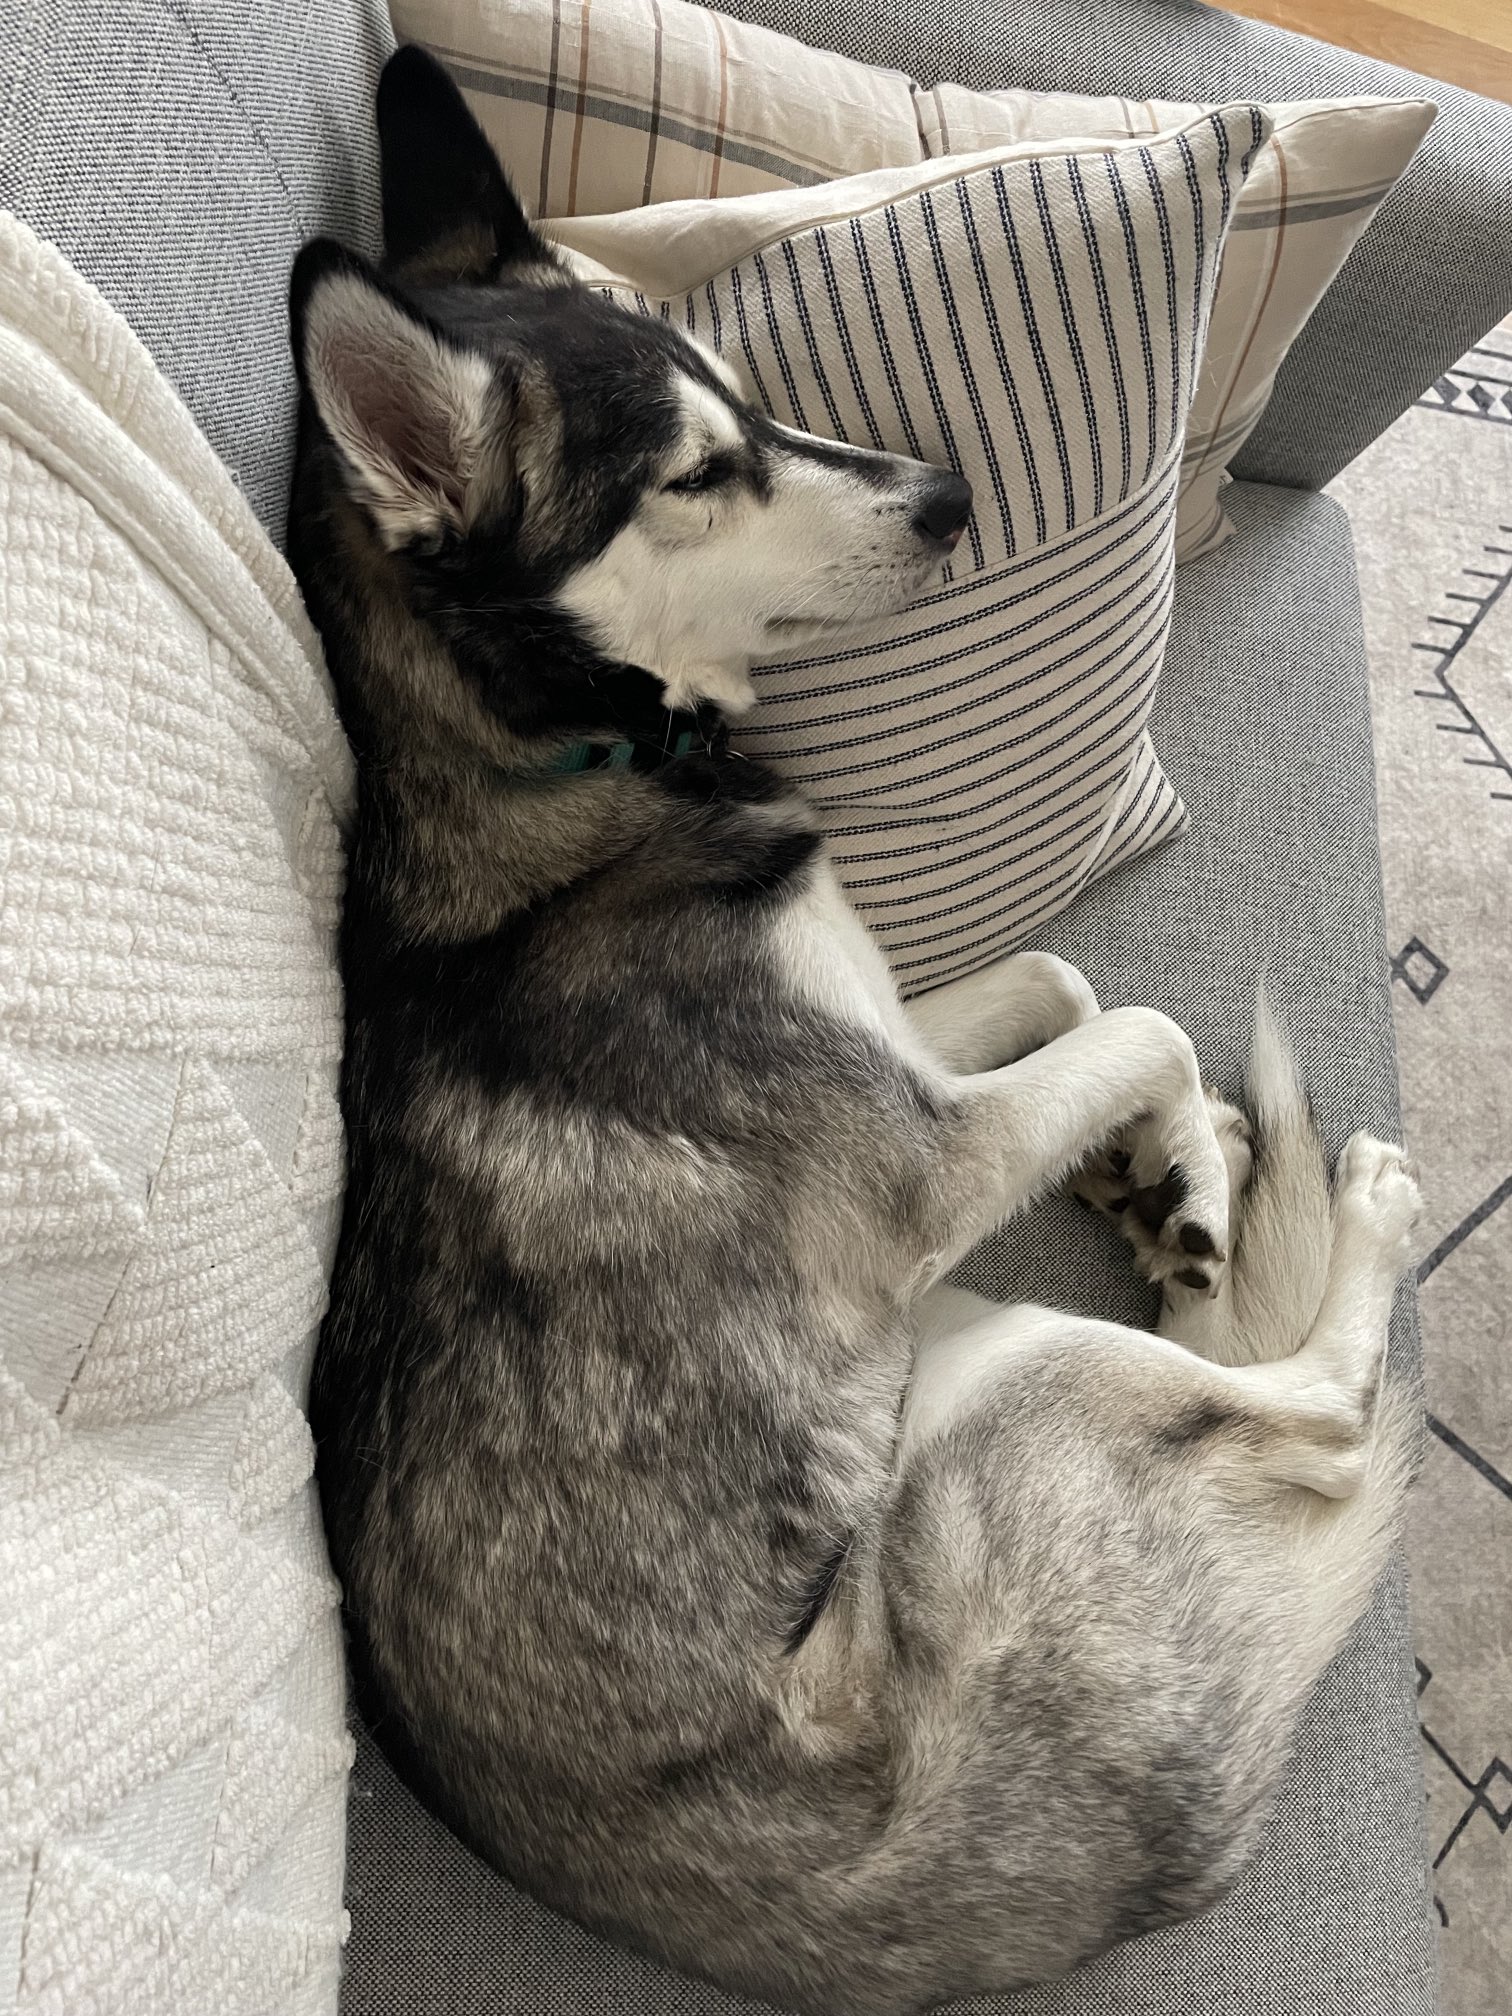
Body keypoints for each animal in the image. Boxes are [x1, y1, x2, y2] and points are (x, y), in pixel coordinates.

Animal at [292, 48, 1421, 2016]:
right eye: (697, 472)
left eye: (737, 387)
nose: (954, 494)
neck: (564, 773)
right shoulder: (917, 1163)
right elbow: (1126, 1008)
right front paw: (1188, 1146)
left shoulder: (898, 1042)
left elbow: (1061, 992)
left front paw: (1173, 1162)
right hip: (996, 1365)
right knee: (1326, 1411)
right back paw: (1345, 1214)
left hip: (954, 1334)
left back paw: (1183, 1230)